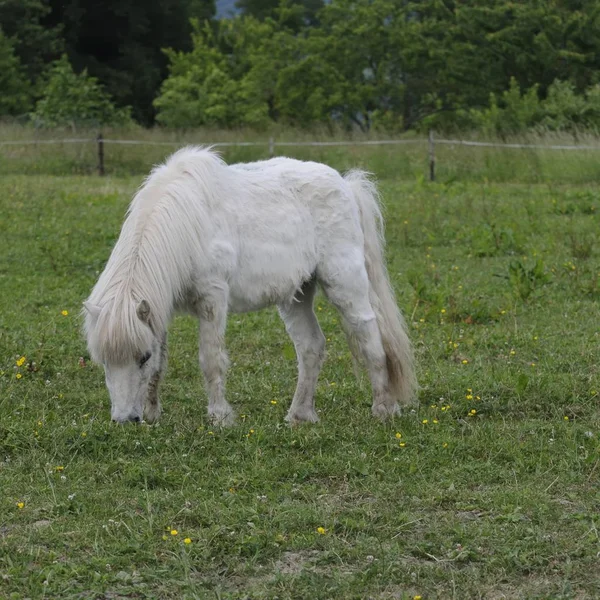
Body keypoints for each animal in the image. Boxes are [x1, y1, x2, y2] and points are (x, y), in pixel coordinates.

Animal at [82, 148, 414, 424]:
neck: (187, 221)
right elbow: (162, 364)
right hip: (296, 296)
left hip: (345, 283)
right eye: (104, 361)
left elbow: (210, 359)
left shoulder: (212, 298)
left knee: (369, 336)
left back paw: (383, 409)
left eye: (142, 358)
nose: (126, 419)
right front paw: (153, 413)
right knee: (311, 347)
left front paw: (220, 417)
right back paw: (299, 415)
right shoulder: (160, 307)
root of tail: (346, 185)